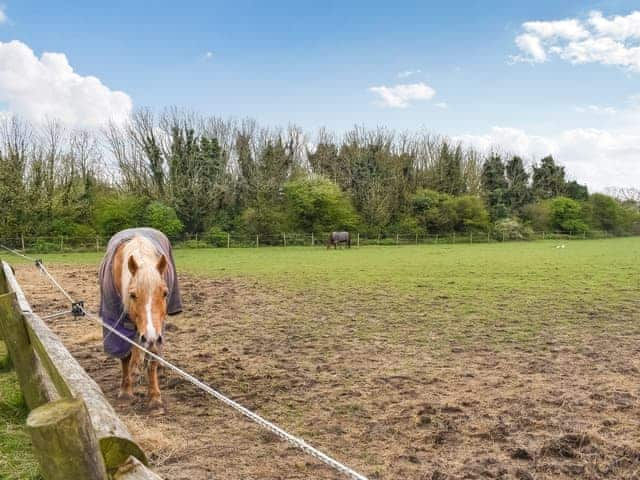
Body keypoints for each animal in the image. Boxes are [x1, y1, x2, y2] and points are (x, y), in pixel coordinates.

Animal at [98, 229, 182, 412]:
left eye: (165, 293)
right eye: (132, 294)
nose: (150, 337)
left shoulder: (157, 331)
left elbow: (152, 359)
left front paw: (155, 397)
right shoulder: (117, 325)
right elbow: (125, 356)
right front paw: (125, 391)